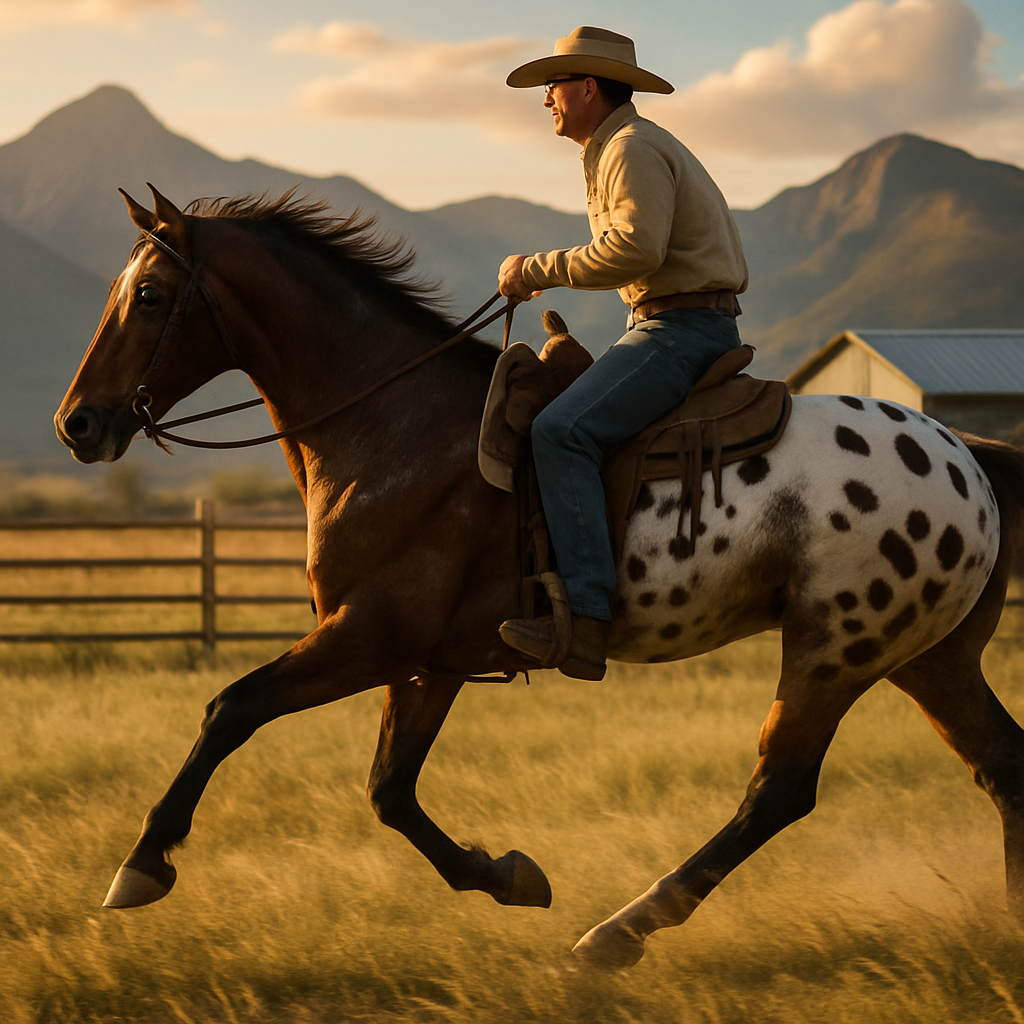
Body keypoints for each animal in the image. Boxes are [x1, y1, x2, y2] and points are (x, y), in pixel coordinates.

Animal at [54, 185, 1024, 969]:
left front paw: (141, 864)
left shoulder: (367, 636)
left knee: (778, 791)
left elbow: (233, 710)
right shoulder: (428, 663)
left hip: (833, 653)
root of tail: (969, 457)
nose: (78, 424)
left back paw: (617, 934)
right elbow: (389, 791)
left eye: (148, 295)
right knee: (1001, 766)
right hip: (924, 659)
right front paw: (509, 876)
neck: (394, 423)